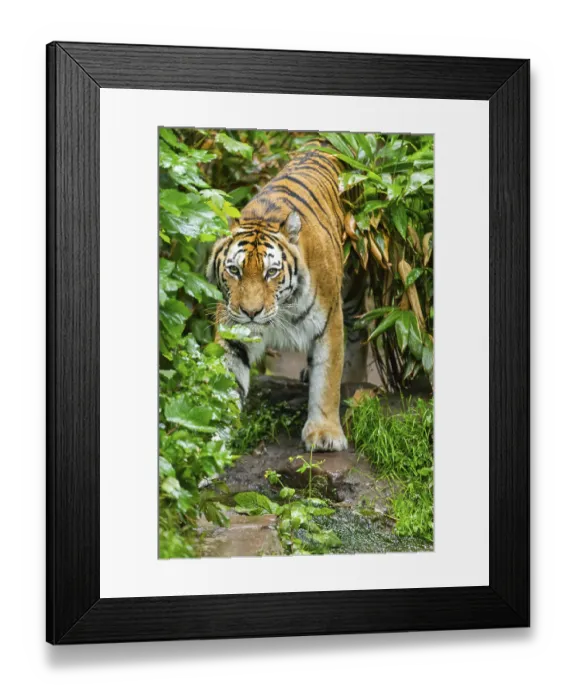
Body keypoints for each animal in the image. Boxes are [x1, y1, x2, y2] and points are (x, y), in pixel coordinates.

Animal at [207, 149, 367, 452]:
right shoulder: (233, 331)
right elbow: (226, 382)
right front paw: (210, 439)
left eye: (271, 272)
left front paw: (325, 434)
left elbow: (327, 380)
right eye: (234, 270)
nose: (251, 312)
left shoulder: (329, 322)